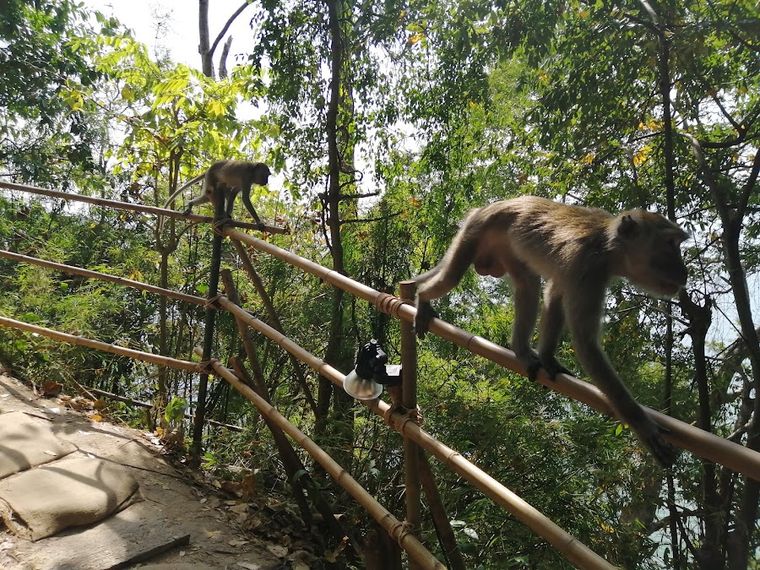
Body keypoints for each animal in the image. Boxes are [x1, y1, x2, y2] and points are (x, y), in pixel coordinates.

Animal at [413, 195, 689, 467]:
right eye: (670, 244)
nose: (684, 271)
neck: (608, 247)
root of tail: (485, 208)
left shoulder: (577, 271)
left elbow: (555, 293)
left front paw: (548, 358)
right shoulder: (586, 266)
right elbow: (585, 343)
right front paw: (644, 428)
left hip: (505, 248)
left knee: (528, 284)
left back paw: (521, 351)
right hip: (475, 233)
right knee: (451, 277)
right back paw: (422, 297)